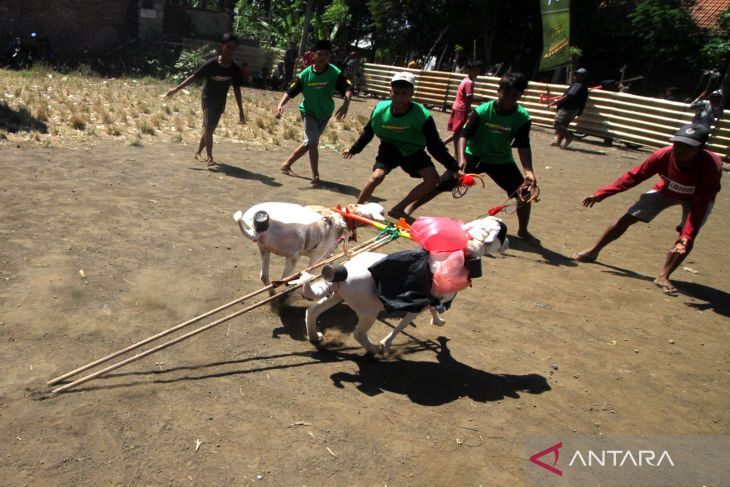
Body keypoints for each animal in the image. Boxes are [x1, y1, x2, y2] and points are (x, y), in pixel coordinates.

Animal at [233, 201, 384, 294]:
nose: (382, 210)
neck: (342, 217)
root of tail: (258, 231)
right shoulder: (317, 256)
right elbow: (310, 270)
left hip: (264, 250)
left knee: (265, 277)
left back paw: (273, 294)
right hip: (292, 255)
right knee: (283, 279)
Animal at [302, 215, 506, 356]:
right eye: (504, 233)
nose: (508, 244)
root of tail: (342, 271)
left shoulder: (428, 300)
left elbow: (430, 312)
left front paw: (438, 322)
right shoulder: (420, 304)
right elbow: (401, 326)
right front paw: (385, 344)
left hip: (337, 296)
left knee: (312, 310)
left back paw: (314, 336)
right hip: (368, 310)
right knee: (359, 334)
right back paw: (374, 350)